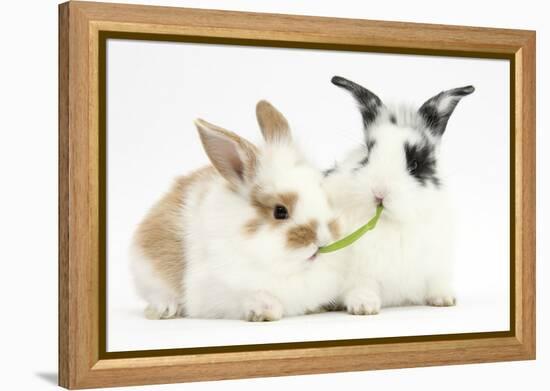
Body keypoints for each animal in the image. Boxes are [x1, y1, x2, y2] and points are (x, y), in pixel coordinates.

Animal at [130, 100, 344, 322]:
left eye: (324, 194)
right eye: (280, 211)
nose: (323, 239)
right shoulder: (217, 292)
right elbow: (254, 297)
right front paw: (265, 311)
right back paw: (165, 309)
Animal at [326, 76, 476, 316]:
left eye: (415, 164)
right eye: (367, 155)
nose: (379, 192)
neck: (392, 222)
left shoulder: (436, 262)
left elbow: (436, 281)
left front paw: (444, 299)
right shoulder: (359, 270)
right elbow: (361, 285)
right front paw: (364, 306)